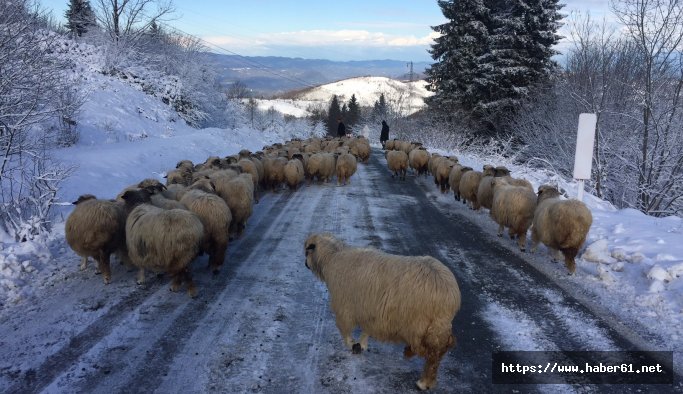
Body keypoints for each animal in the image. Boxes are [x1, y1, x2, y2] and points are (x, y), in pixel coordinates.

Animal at [306, 234, 462, 390]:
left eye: (307, 250)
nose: (305, 264)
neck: (332, 257)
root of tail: (450, 295)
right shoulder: (370, 309)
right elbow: (366, 329)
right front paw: (362, 345)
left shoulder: (344, 307)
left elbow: (345, 331)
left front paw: (353, 345)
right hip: (434, 327)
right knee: (436, 351)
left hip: (421, 325)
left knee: (432, 355)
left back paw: (423, 382)